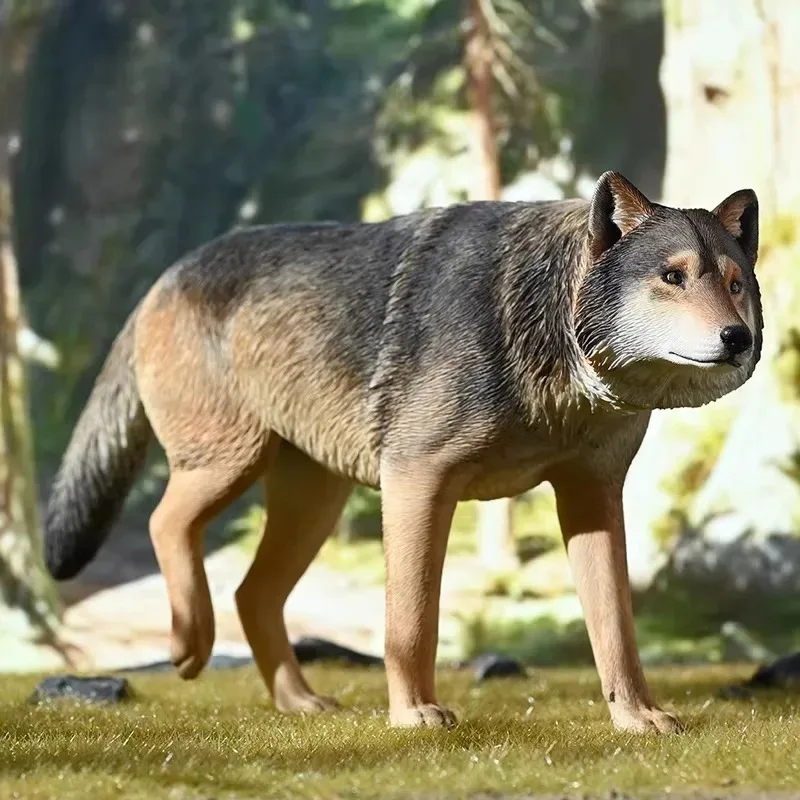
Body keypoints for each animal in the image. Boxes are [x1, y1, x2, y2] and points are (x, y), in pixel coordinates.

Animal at [44, 171, 762, 733]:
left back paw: (298, 702)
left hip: (313, 505)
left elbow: (617, 629)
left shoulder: (592, 496)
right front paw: (414, 715)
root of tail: (163, 277)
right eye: (672, 277)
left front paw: (636, 717)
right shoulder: (418, 481)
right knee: (166, 524)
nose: (740, 338)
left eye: (733, 283)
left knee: (251, 593)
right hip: (228, 465)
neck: (534, 322)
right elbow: (411, 621)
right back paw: (189, 643)